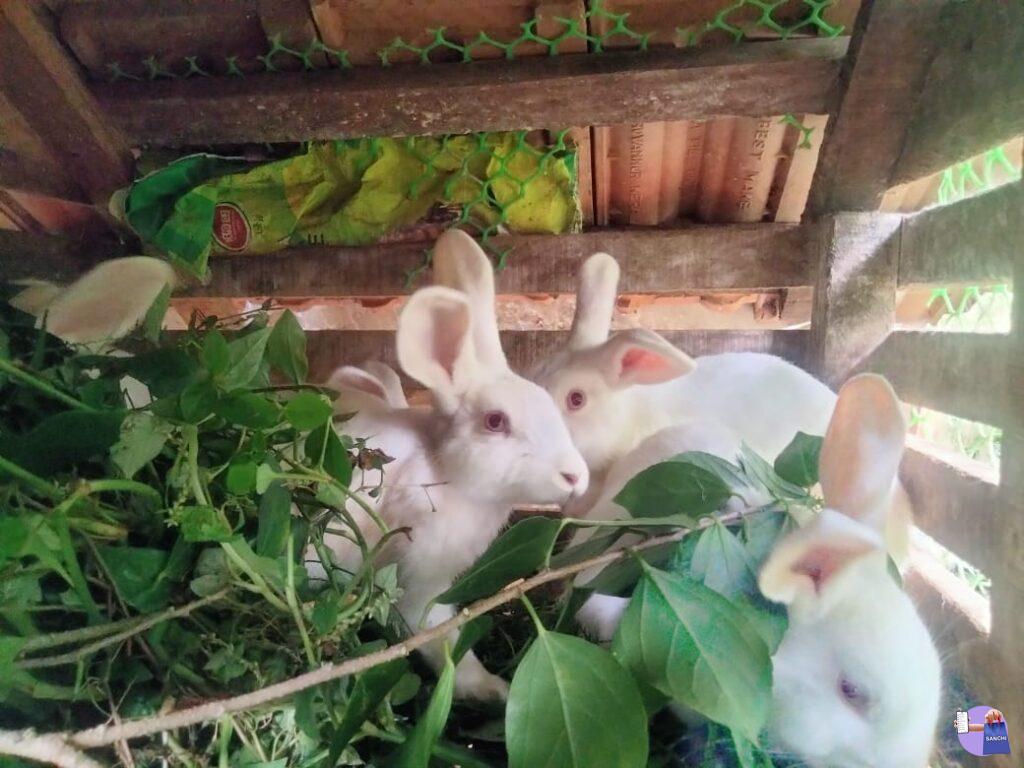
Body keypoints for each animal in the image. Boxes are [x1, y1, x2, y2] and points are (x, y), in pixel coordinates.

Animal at [319, 283, 589, 701]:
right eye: (495, 421)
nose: (575, 476)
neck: (445, 474)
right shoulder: (420, 578)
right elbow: (438, 636)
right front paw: (494, 689)